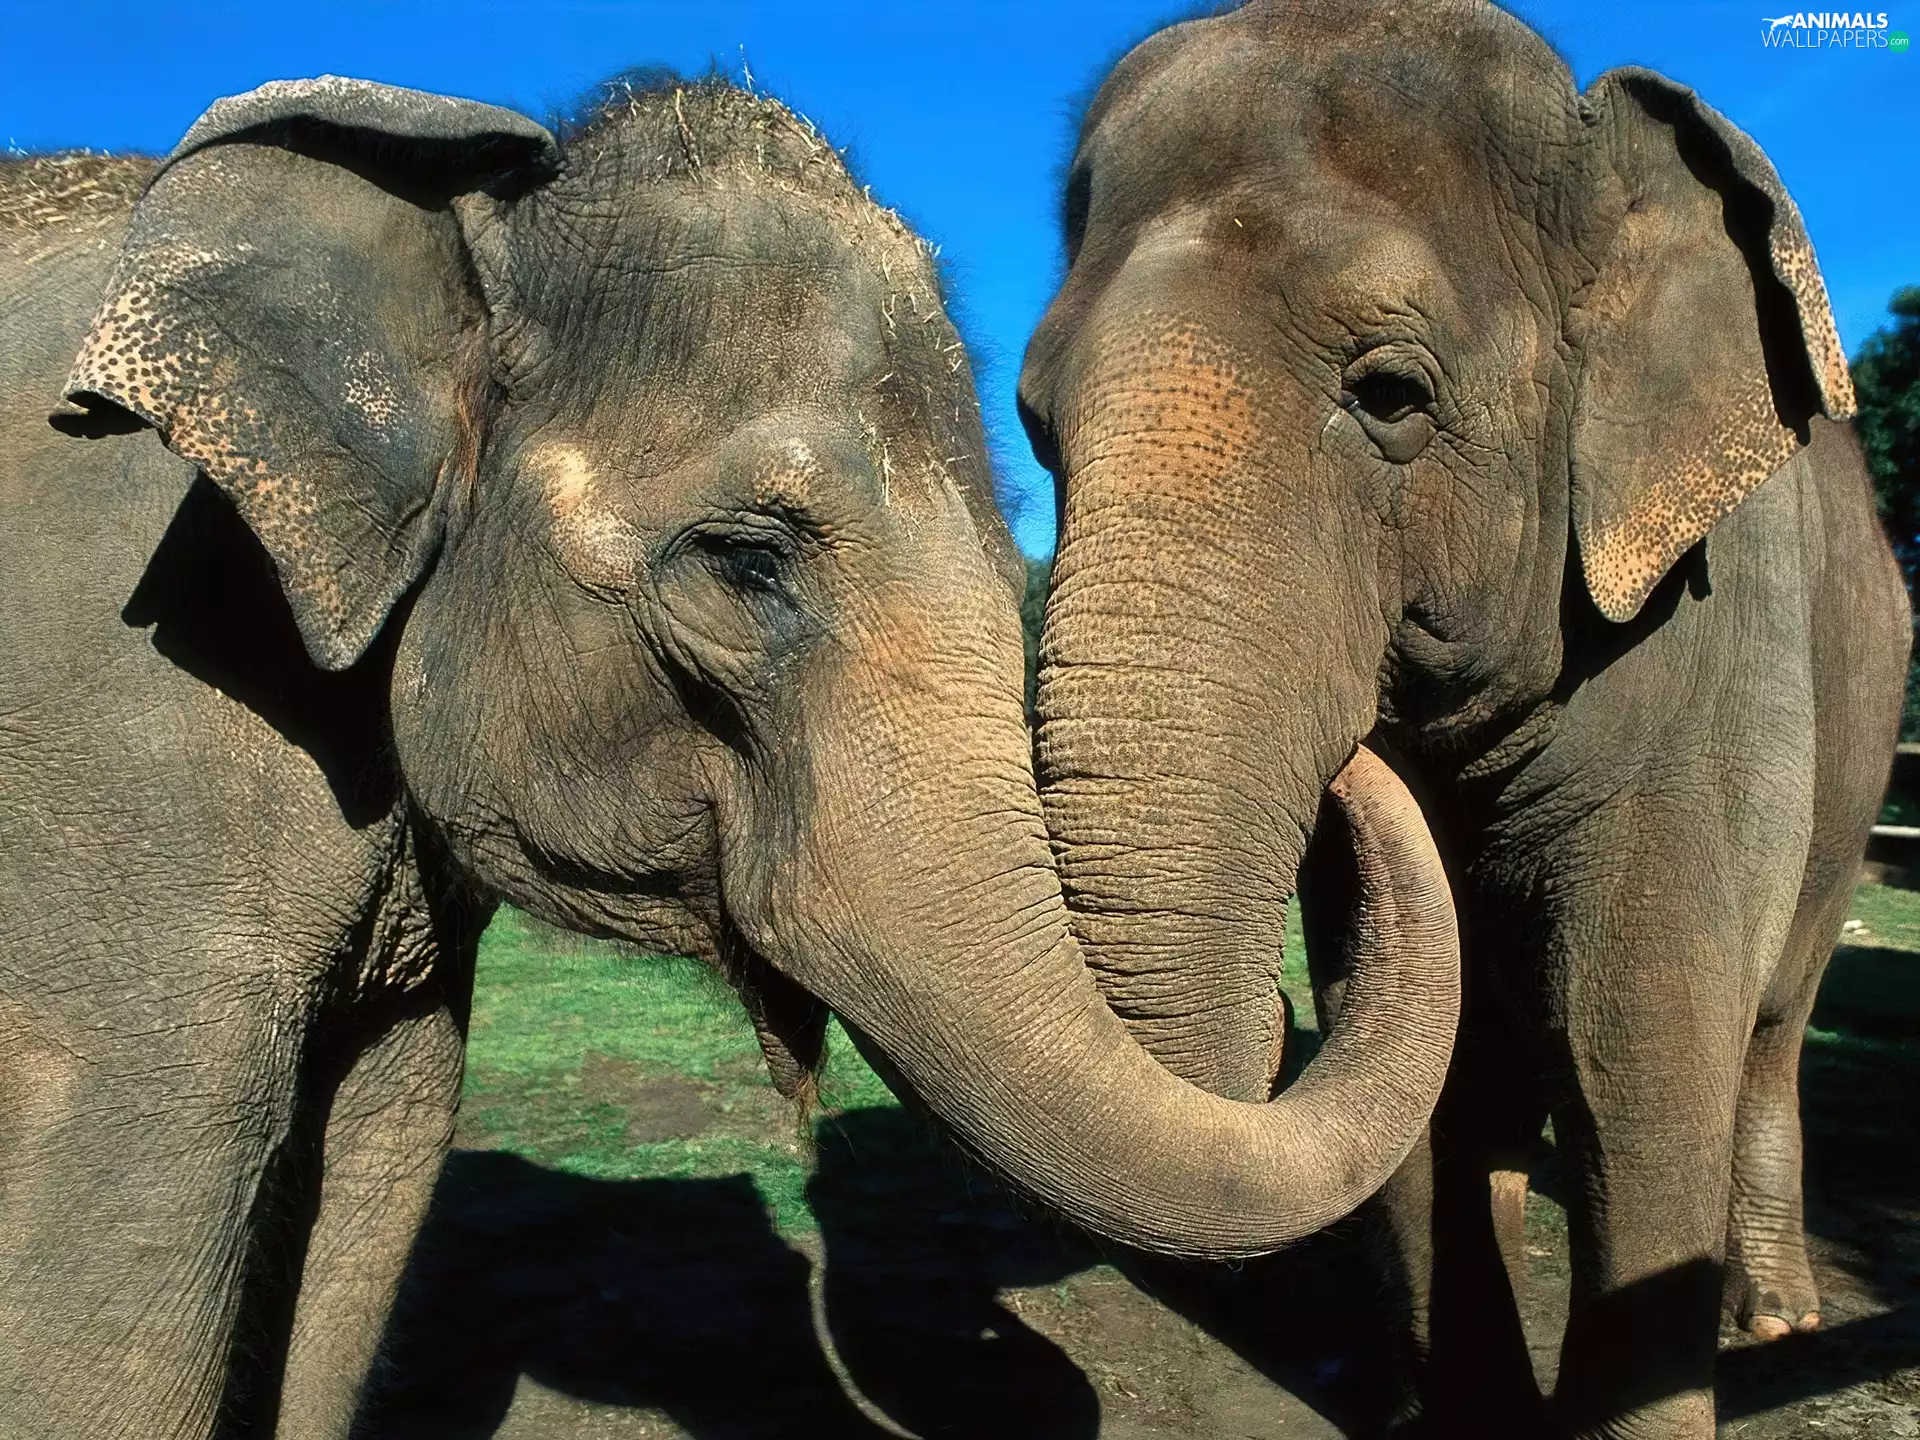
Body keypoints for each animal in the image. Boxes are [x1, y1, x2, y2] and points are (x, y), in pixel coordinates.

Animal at [1018, 3, 1909, 1436]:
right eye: (1037, 426)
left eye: (1390, 393)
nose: (1355, 760)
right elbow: (1415, 1069)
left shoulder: (1726, 636)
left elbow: (1638, 1044)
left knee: (1771, 1026)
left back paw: (1775, 1316)